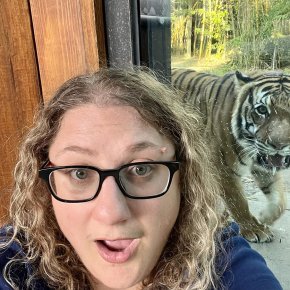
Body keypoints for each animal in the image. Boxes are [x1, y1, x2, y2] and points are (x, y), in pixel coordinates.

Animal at [172, 68, 290, 242]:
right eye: (262, 110)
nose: (279, 145)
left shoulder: (264, 167)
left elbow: (279, 201)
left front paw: (264, 217)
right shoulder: (223, 169)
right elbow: (238, 201)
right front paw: (254, 229)